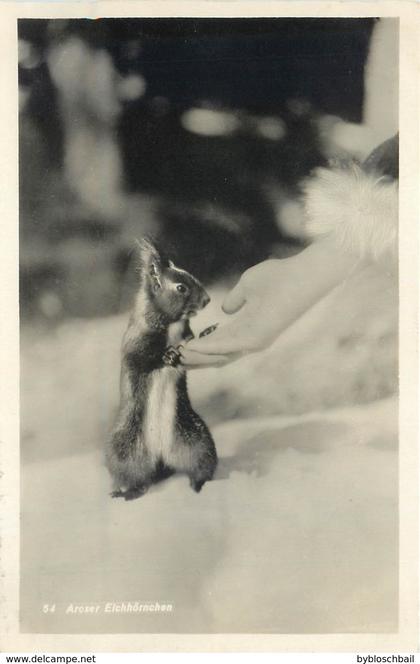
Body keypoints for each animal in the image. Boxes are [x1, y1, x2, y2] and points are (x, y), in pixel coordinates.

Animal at [105, 238, 218, 501]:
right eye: (181, 288)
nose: (207, 300)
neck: (172, 325)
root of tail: (161, 458)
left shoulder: (186, 337)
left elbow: (192, 341)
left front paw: (208, 332)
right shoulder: (135, 345)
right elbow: (143, 359)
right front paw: (166, 355)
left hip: (197, 441)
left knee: (200, 467)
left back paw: (200, 484)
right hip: (126, 450)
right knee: (136, 479)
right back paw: (128, 492)